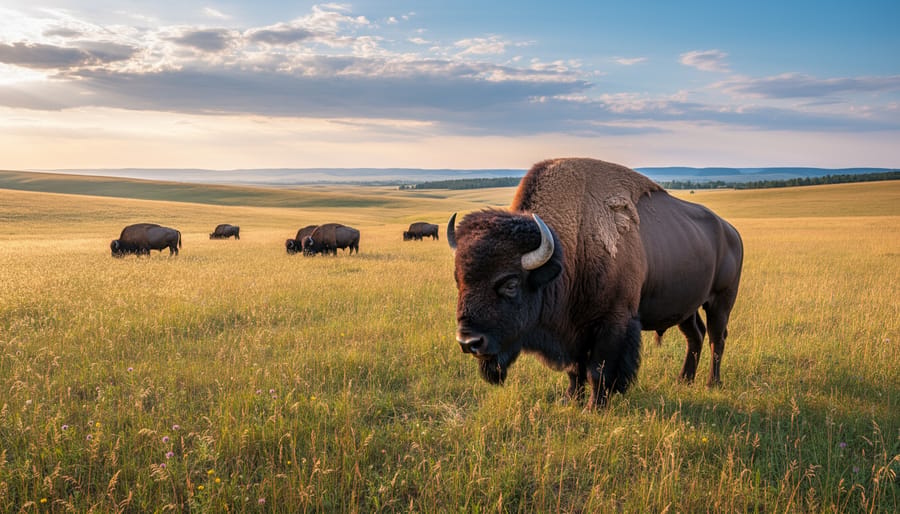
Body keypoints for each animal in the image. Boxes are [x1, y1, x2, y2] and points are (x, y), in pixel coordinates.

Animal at [447, 158, 743, 408]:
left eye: (511, 284)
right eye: (458, 279)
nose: (469, 342)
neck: (571, 247)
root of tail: (731, 231)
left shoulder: (612, 323)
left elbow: (598, 370)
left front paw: (595, 407)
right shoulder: (573, 329)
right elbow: (575, 369)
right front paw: (570, 400)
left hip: (721, 301)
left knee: (717, 339)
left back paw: (711, 384)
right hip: (686, 307)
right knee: (696, 336)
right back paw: (684, 380)